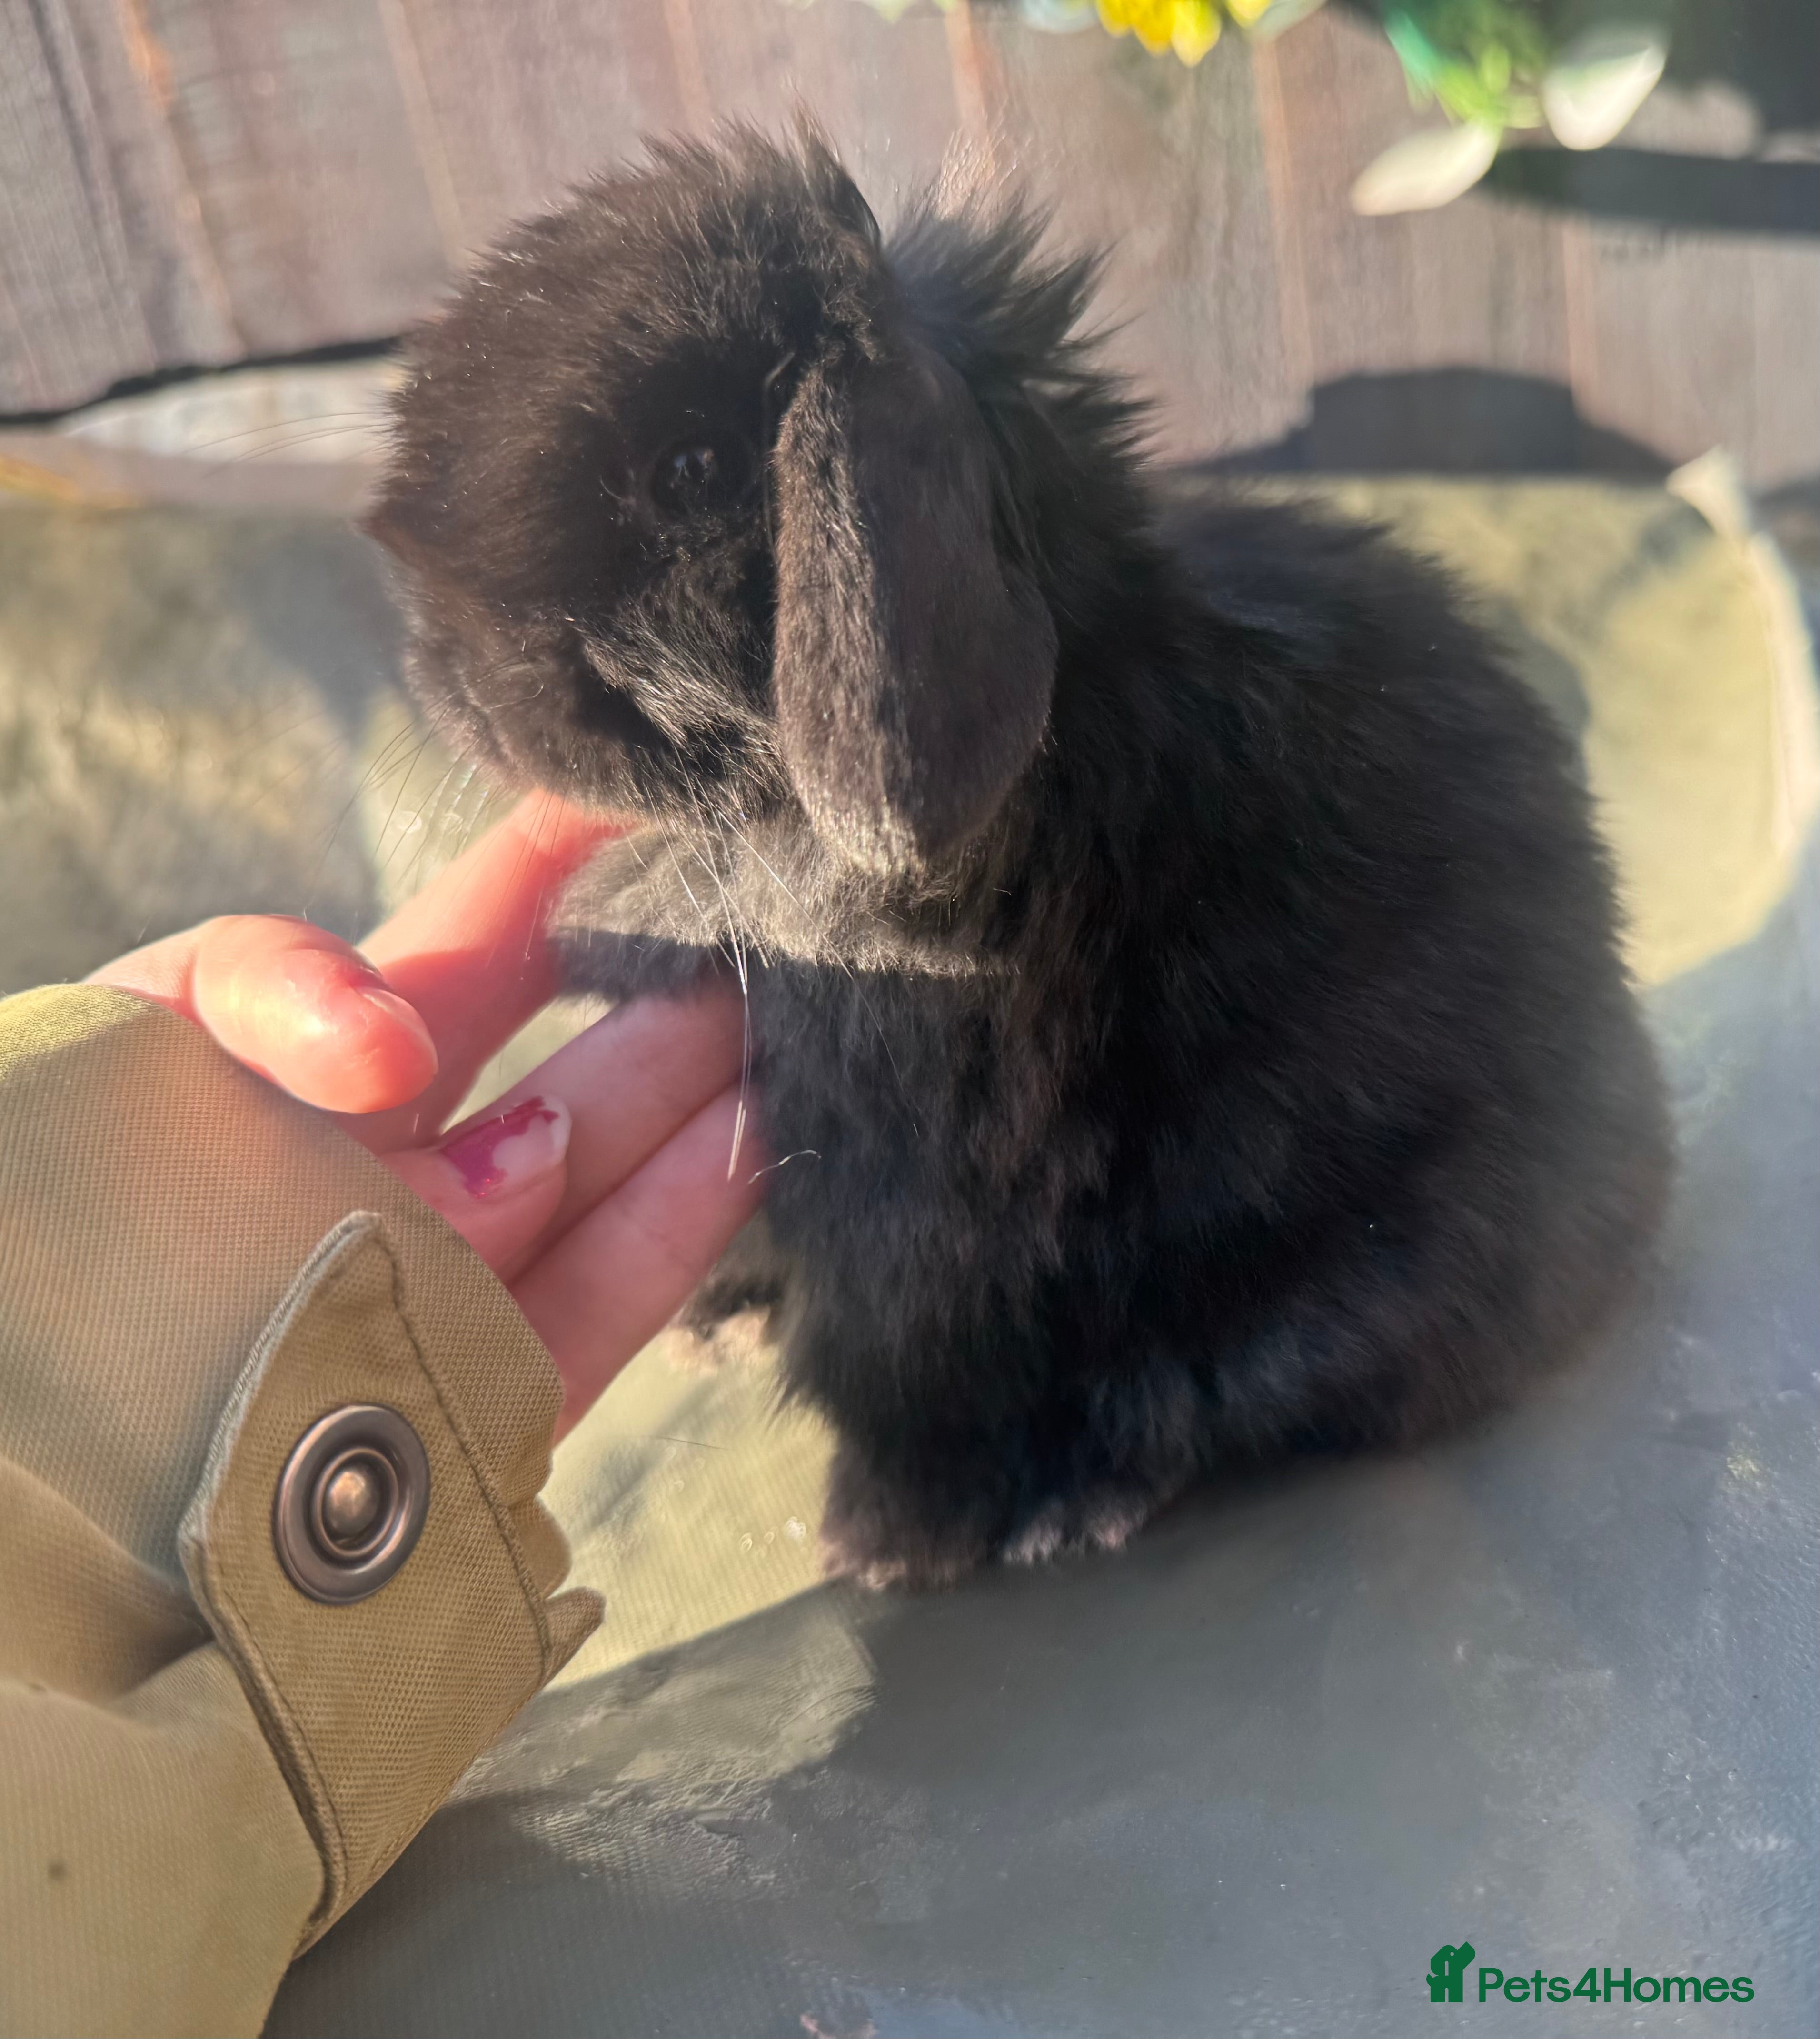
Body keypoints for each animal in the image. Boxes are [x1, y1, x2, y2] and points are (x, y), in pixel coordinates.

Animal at [368, 130, 1672, 1589]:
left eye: (693, 468)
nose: (448, 676)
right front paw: (725, 1321)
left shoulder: (920, 1191)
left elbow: (896, 1358)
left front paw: (885, 1541)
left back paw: (1076, 1500)